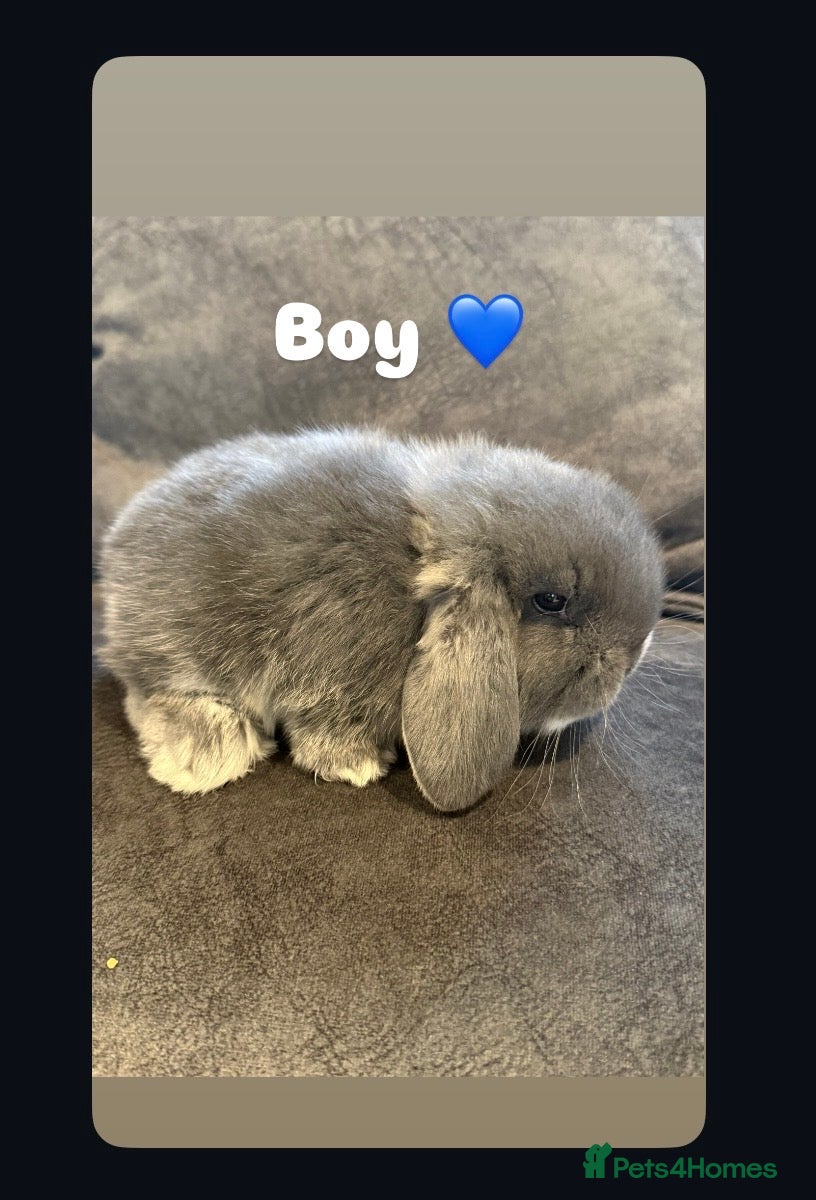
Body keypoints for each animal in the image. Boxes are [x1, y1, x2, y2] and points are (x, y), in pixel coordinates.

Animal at [99, 426, 664, 812]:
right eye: (551, 601)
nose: (636, 655)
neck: (412, 572)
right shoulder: (329, 673)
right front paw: (358, 765)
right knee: (147, 697)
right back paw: (204, 756)